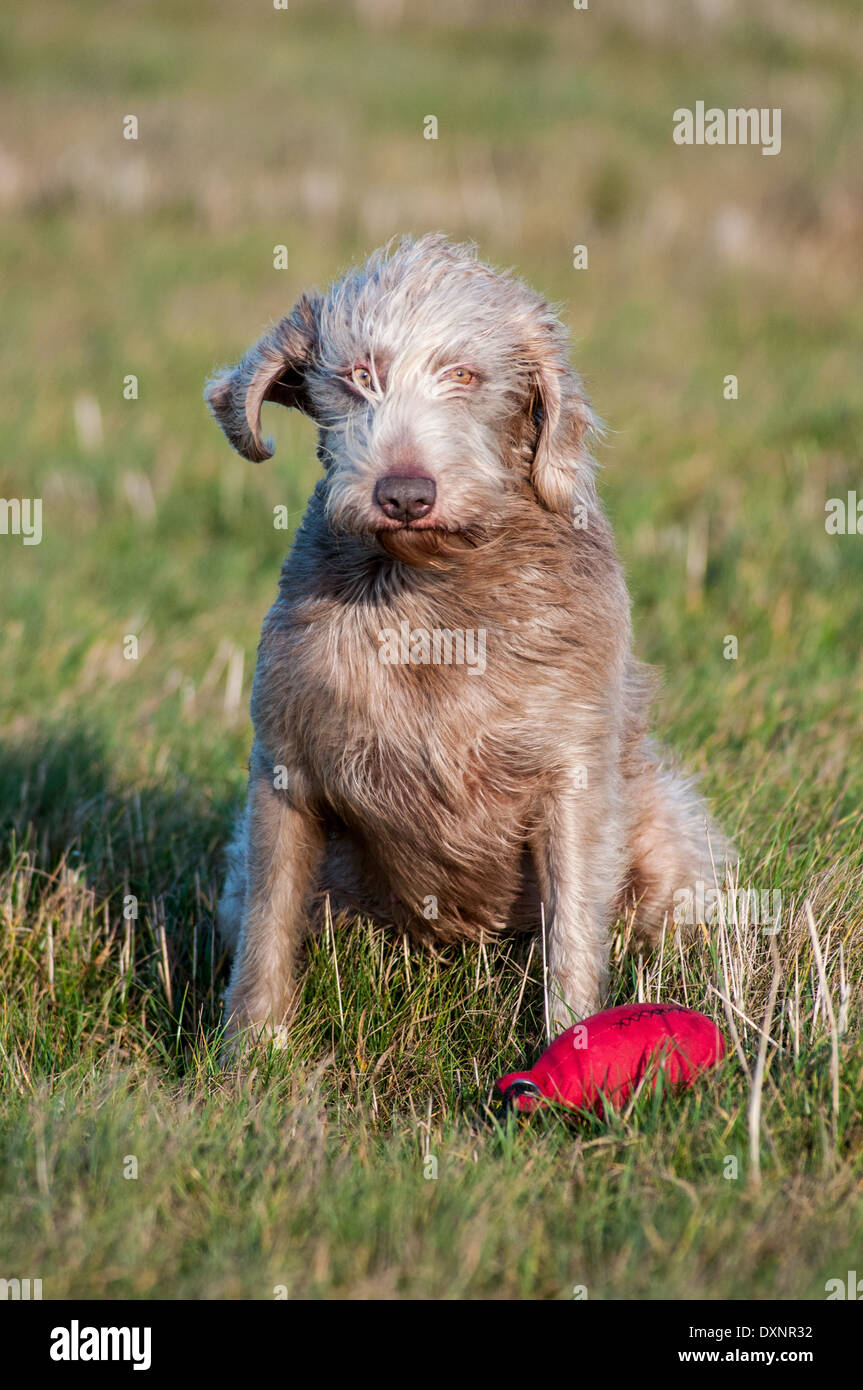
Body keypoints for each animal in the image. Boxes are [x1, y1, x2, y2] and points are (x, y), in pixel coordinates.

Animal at [205, 236, 722, 1045]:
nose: (404, 493)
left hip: (663, 833)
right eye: (360, 376)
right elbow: (266, 922)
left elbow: (574, 925)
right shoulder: (285, 763)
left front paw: (570, 1042)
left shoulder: (573, 773)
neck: (434, 596)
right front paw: (251, 1056)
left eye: (463, 376)